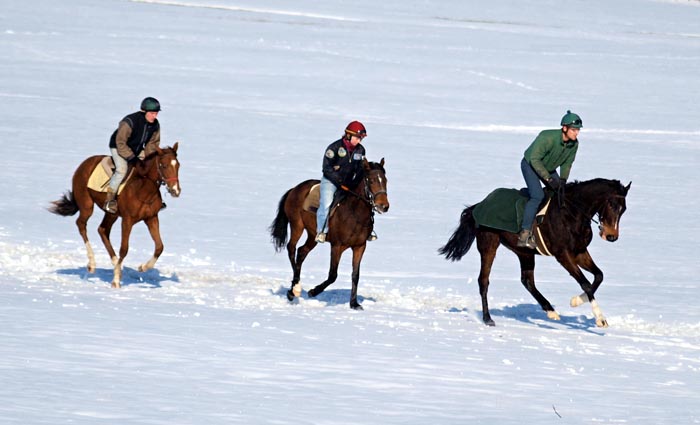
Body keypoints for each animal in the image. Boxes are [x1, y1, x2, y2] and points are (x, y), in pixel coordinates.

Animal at [49, 143, 180, 288]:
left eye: (178, 165)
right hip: (87, 205)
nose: (176, 190)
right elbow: (124, 249)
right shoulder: (127, 221)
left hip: (111, 214)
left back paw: (116, 265)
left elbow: (159, 247)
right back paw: (92, 264)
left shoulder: (151, 218)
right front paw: (116, 281)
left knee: (102, 230)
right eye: (164, 165)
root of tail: (84, 164)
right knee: (81, 225)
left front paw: (143, 267)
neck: (142, 188)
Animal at [270, 157, 392, 310]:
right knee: (291, 248)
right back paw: (294, 289)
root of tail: (294, 189)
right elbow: (333, 275)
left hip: (312, 235)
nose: (384, 206)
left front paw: (354, 304)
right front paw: (313, 291)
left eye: (385, 180)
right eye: (371, 180)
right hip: (297, 225)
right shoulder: (336, 246)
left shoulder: (360, 246)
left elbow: (355, 275)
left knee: (302, 252)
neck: (355, 214)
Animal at [438, 177, 628, 326]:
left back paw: (551, 311)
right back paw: (488, 319)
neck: (573, 213)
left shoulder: (579, 251)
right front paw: (600, 319)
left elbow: (599, 276)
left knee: (527, 281)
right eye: (611, 204)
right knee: (483, 281)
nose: (612, 236)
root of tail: (478, 205)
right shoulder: (563, 255)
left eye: (624, 209)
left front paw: (575, 301)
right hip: (489, 243)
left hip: (524, 252)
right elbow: (586, 283)